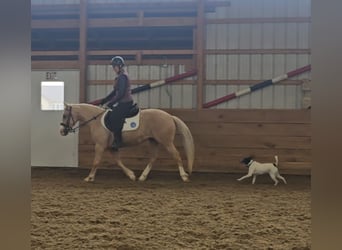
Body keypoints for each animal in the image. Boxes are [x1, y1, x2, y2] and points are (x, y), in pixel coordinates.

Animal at [59, 102, 195, 183]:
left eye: (65, 115)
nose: (62, 131)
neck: (96, 120)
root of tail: (170, 116)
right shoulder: (112, 148)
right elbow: (118, 161)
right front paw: (131, 175)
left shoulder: (100, 146)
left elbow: (96, 162)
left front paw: (89, 177)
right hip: (153, 141)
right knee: (153, 158)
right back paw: (142, 177)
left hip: (166, 142)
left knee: (176, 155)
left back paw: (184, 176)